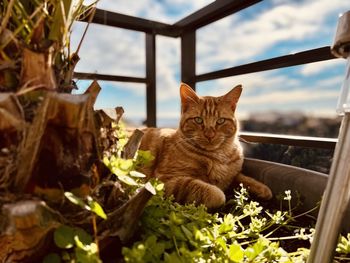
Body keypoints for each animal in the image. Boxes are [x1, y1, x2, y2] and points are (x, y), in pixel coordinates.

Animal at [138, 83, 272, 210]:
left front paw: (262, 189)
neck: (218, 155)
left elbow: (243, 178)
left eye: (220, 121)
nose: (209, 135)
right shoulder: (165, 180)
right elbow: (216, 193)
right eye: (198, 120)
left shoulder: (233, 174)